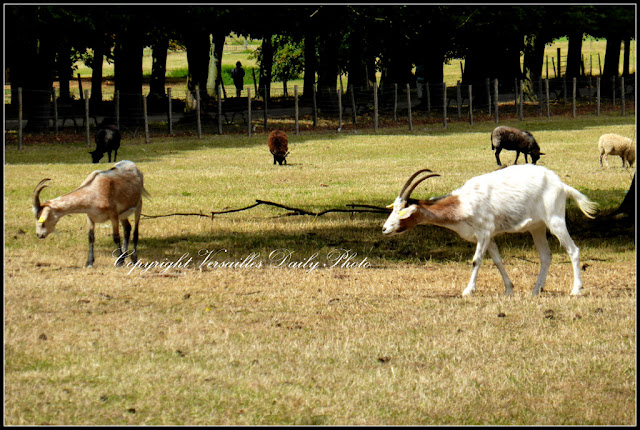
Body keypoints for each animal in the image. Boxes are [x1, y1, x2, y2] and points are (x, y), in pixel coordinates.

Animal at [384, 165, 600, 296]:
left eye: (401, 211)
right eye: (393, 208)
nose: (385, 228)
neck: (463, 202)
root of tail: (561, 185)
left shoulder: (484, 234)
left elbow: (476, 261)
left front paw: (468, 291)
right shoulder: (489, 238)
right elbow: (497, 260)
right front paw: (509, 289)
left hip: (555, 222)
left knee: (573, 250)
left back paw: (576, 290)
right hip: (537, 228)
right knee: (546, 256)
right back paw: (535, 290)